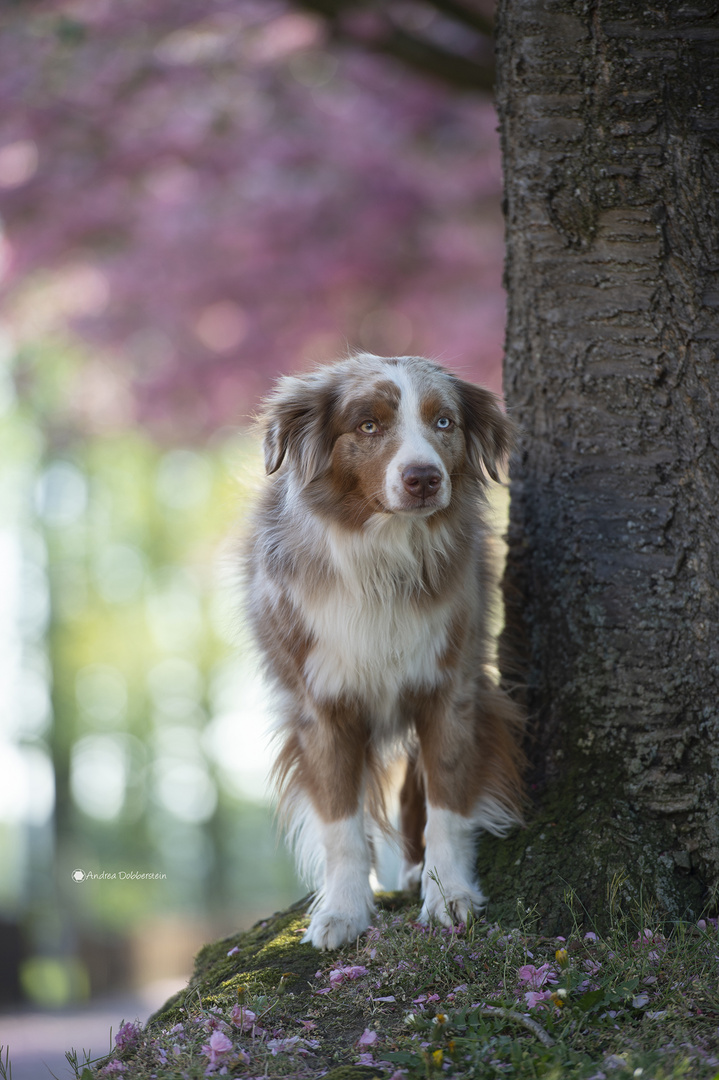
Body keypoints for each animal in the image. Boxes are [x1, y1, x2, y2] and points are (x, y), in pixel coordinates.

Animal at [243, 352, 524, 946]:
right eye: (369, 425)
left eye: (444, 422)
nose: (424, 478)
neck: (385, 555)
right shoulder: (321, 707)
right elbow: (341, 823)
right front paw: (344, 911)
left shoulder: (451, 688)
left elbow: (447, 804)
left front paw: (448, 894)